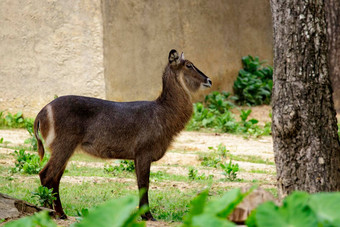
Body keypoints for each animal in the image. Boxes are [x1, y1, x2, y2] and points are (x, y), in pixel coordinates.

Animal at [33, 49, 211, 220]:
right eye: (189, 65)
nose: (209, 80)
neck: (163, 112)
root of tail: (42, 112)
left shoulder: (138, 157)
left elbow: (141, 184)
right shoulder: (143, 153)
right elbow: (144, 184)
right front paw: (148, 216)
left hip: (65, 150)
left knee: (54, 179)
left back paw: (55, 212)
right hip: (63, 146)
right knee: (46, 175)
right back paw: (52, 213)